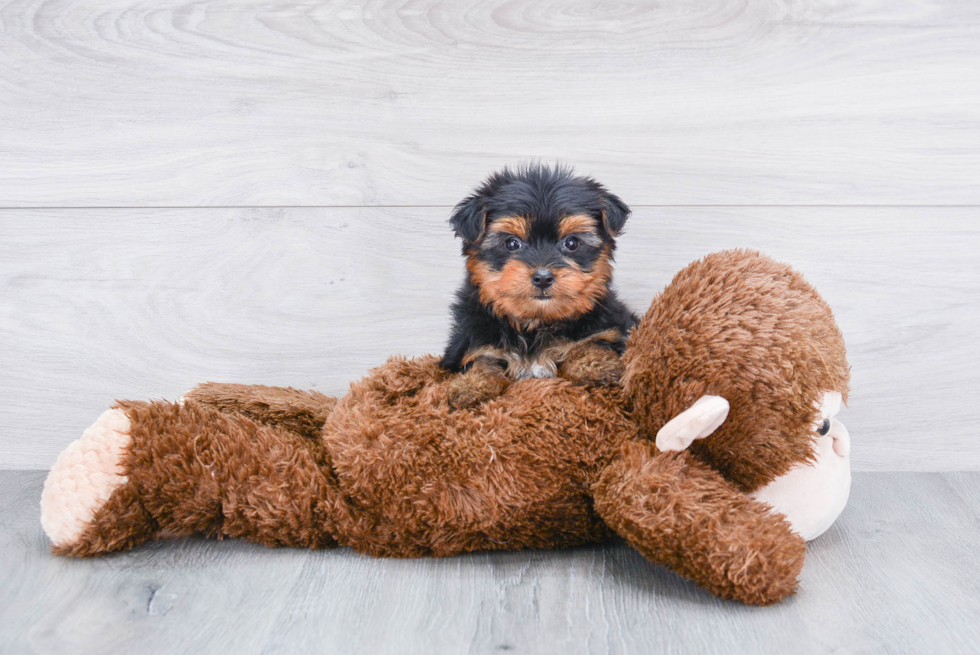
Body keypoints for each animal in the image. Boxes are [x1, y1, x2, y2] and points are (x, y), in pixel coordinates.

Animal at [440, 164, 640, 408]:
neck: (537, 323)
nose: (543, 277)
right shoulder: (466, 347)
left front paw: (597, 366)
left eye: (571, 243)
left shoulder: (616, 329)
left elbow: (589, 344)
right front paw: (469, 386)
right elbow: (482, 360)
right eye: (511, 243)